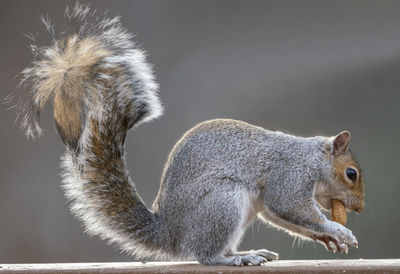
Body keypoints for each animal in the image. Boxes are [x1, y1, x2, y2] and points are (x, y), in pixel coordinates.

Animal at [16, 3, 366, 266]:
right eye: (351, 173)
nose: (359, 209)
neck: (311, 159)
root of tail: (171, 234)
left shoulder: (273, 197)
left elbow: (280, 215)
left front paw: (329, 237)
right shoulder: (290, 174)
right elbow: (289, 206)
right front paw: (336, 229)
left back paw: (247, 252)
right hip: (223, 203)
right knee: (206, 256)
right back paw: (235, 258)